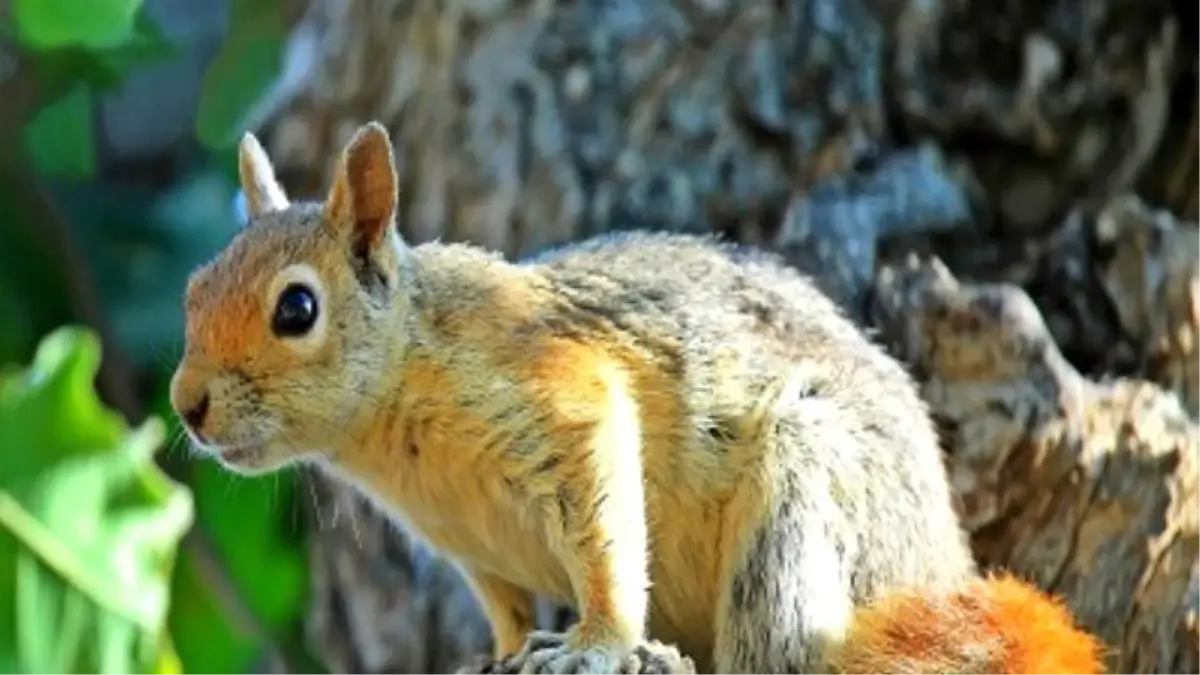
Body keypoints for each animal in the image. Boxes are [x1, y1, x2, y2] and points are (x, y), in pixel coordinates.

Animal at [171, 121, 1104, 672]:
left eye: (297, 309)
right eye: (193, 287)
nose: (186, 405)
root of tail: (944, 563)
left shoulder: (563, 396)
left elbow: (605, 545)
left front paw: (593, 642)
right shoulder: (469, 547)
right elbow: (503, 607)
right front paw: (502, 652)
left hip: (813, 483)